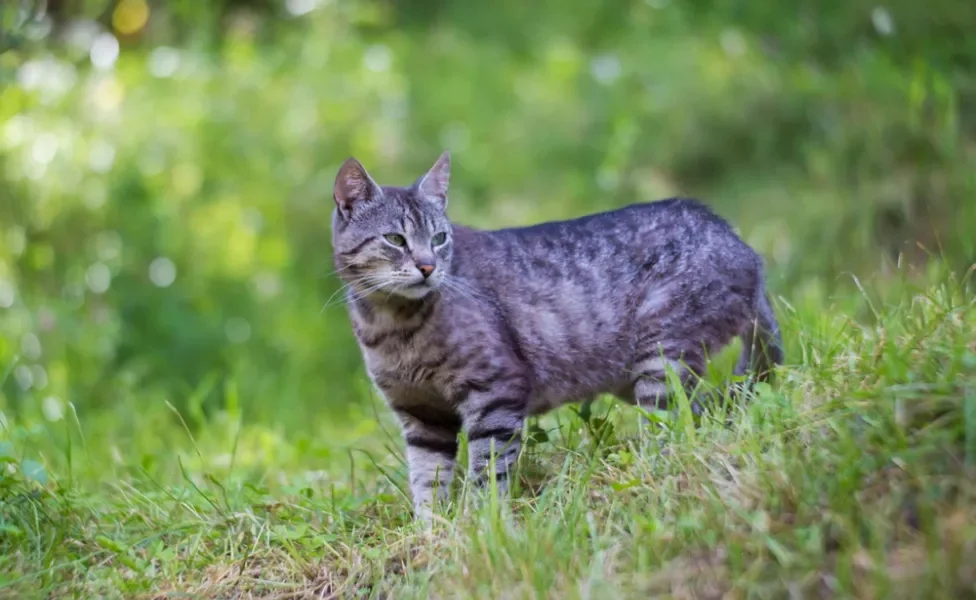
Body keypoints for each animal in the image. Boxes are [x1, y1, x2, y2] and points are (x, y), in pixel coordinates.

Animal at [332, 151, 780, 520]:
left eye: (439, 239)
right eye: (395, 239)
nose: (428, 267)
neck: (392, 327)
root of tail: (743, 246)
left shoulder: (496, 393)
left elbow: (486, 473)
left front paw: (481, 524)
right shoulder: (422, 417)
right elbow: (427, 481)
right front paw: (432, 532)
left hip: (662, 359)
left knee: (678, 432)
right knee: (707, 414)